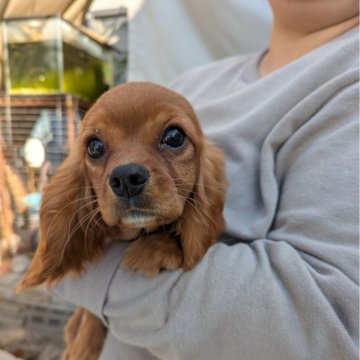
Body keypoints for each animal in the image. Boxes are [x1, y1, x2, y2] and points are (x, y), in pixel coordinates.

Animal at [17, 82, 225, 360]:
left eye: (174, 137)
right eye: (94, 147)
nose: (126, 177)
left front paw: (154, 250)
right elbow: (90, 314)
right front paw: (83, 344)